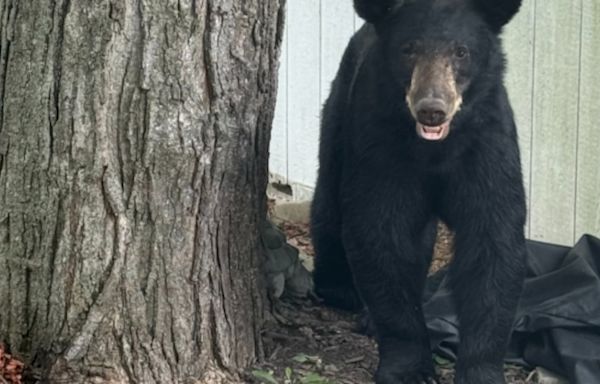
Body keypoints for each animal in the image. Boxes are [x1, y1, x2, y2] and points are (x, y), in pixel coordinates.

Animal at [312, 0, 528, 384]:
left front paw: (481, 370)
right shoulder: (380, 146)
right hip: (339, 114)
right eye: (408, 49)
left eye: (461, 51)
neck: (434, 150)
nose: (432, 109)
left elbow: (493, 240)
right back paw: (339, 287)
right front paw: (409, 368)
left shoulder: (487, 145)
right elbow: (381, 232)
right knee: (330, 196)